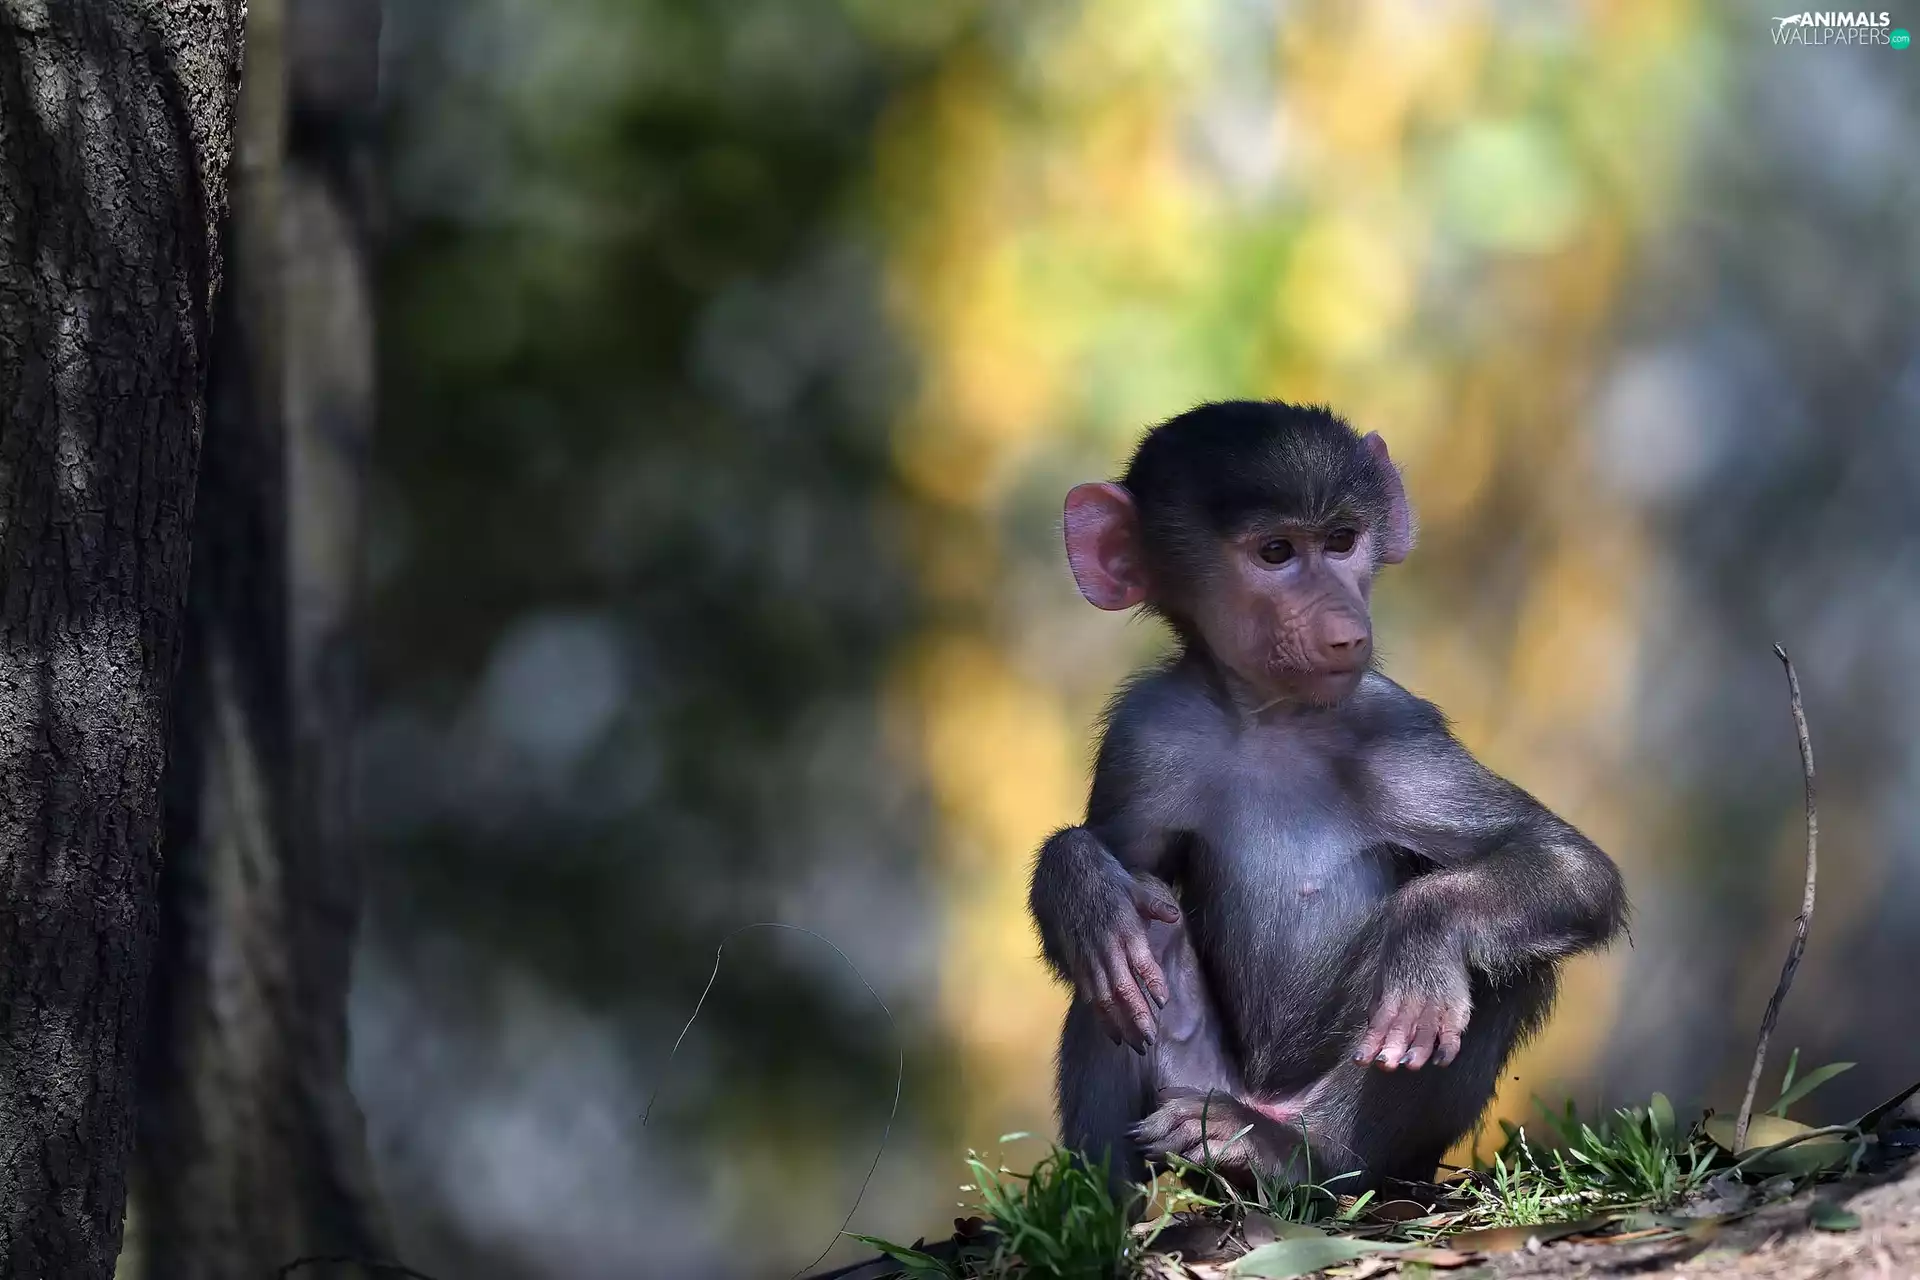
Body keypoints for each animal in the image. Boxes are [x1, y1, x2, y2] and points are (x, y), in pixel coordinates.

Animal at [1027, 401, 1628, 1195]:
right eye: (1277, 552)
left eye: (1343, 541)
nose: (1343, 624)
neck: (1269, 717)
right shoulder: (1148, 735)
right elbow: (1119, 868)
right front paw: (1079, 886)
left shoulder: (1396, 735)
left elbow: (1567, 864)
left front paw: (1425, 932)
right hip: (1195, 1084)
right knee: (1131, 943)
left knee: (1505, 968)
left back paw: (1291, 1154)